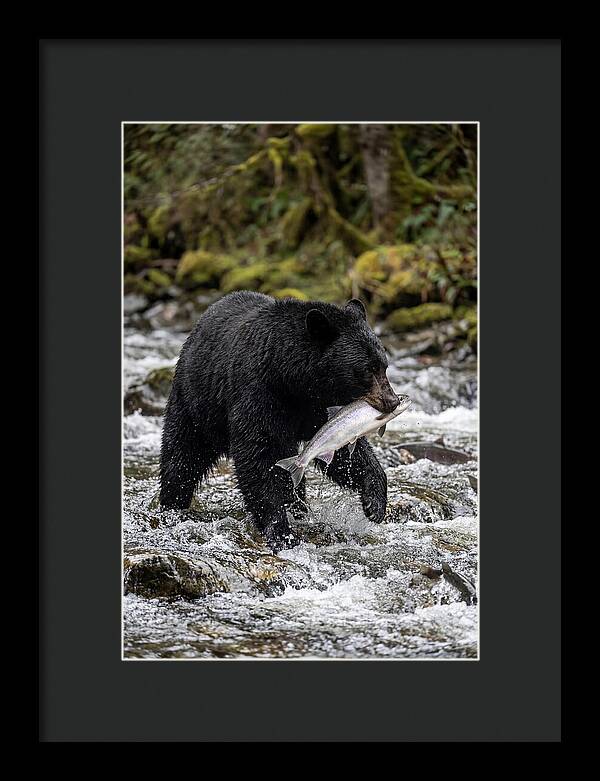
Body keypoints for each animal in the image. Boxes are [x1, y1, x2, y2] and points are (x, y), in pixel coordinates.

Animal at [159, 291, 400, 551]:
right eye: (367, 369)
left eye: (384, 366)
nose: (392, 401)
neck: (292, 379)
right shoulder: (259, 393)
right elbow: (258, 455)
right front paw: (281, 532)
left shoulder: (319, 408)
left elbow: (342, 449)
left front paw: (375, 503)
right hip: (196, 403)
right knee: (182, 455)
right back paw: (172, 505)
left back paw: (299, 508)